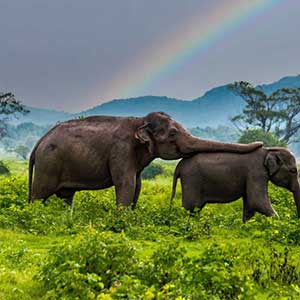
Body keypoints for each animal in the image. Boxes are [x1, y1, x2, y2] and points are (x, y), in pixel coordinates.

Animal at [28, 111, 262, 207]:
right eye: (173, 134)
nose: (260, 143)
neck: (140, 121)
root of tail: (38, 143)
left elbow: (137, 186)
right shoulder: (121, 150)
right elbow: (126, 184)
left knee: (66, 197)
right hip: (48, 165)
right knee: (39, 195)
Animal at [171, 148, 300, 223]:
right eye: (293, 170)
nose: (297, 219)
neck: (270, 150)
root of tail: (179, 165)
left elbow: (250, 205)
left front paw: (245, 225)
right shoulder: (256, 172)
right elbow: (257, 201)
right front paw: (280, 225)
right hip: (191, 180)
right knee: (190, 207)